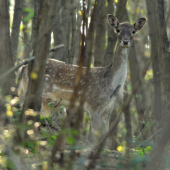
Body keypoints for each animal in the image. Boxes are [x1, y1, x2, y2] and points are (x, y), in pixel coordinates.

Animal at [18, 14, 146, 140]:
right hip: (37, 94)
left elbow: (104, 135)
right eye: (118, 30)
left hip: (52, 103)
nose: (125, 41)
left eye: (133, 31)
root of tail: (23, 67)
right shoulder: (94, 105)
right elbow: (95, 136)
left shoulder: (108, 109)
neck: (110, 82)